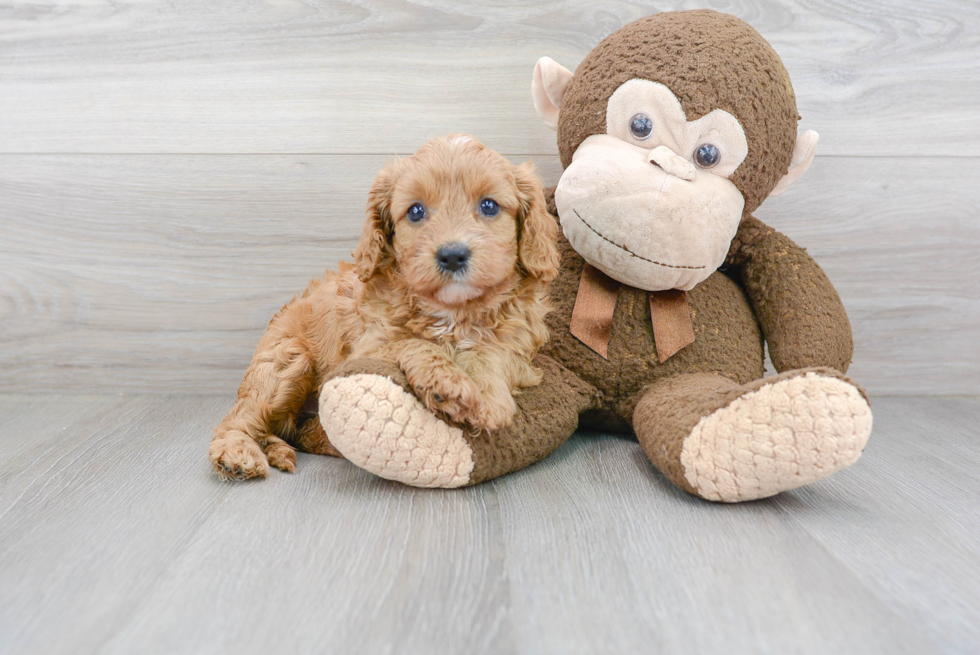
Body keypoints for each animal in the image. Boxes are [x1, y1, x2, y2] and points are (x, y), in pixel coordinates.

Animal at [207, 135, 560, 482]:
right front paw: (448, 381)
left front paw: (486, 396)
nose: (452, 255)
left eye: (489, 206)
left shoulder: (520, 348)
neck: (453, 311)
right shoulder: (367, 347)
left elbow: (491, 353)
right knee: (240, 420)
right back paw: (237, 453)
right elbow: (412, 342)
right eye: (415, 211)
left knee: (301, 431)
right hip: (287, 361)